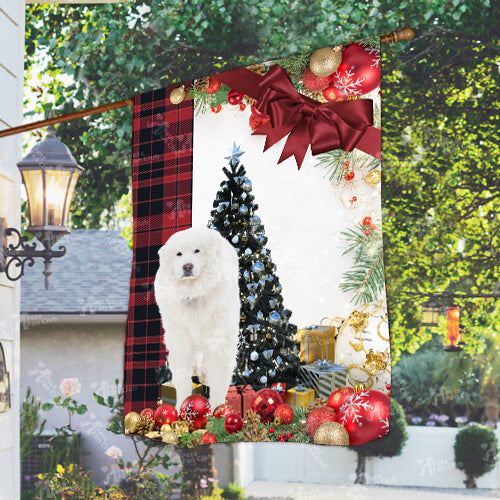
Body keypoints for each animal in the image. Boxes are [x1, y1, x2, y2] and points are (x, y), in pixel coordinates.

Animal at [154, 227, 240, 406]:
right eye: (178, 254)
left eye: (197, 251)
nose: (187, 266)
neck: (192, 293)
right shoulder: (180, 339)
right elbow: (182, 377)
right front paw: (181, 405)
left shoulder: (216, 339)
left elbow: (218, 379)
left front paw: (217, 408)